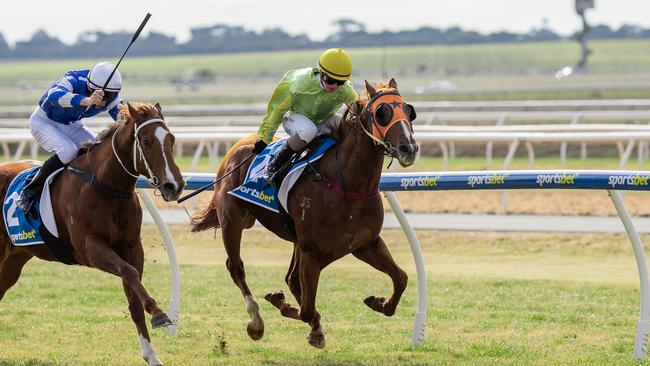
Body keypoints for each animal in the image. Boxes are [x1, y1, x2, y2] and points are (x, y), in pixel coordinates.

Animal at [0, 103, 185, 366]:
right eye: (147, 141)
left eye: (171, 139)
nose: (174, 186)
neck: (105, 185)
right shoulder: (89, 248)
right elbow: (129, 272)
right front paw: (159, 313)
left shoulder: (131, 247)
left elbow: (133, 294)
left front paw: (151, 355)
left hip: (14, 259)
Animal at [190, 78, 418, 348]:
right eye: (382, 113)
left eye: (409, 110)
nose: (408, 148)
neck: (347, 182)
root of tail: (236, 149)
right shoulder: (312, 251)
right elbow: (307, 308)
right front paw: (289, 309)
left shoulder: (364, 244)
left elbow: (401, 278)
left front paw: (379, 303)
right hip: (232, 222)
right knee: (236, 267)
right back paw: (256, 321)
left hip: (293, 239)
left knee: (290, 279)